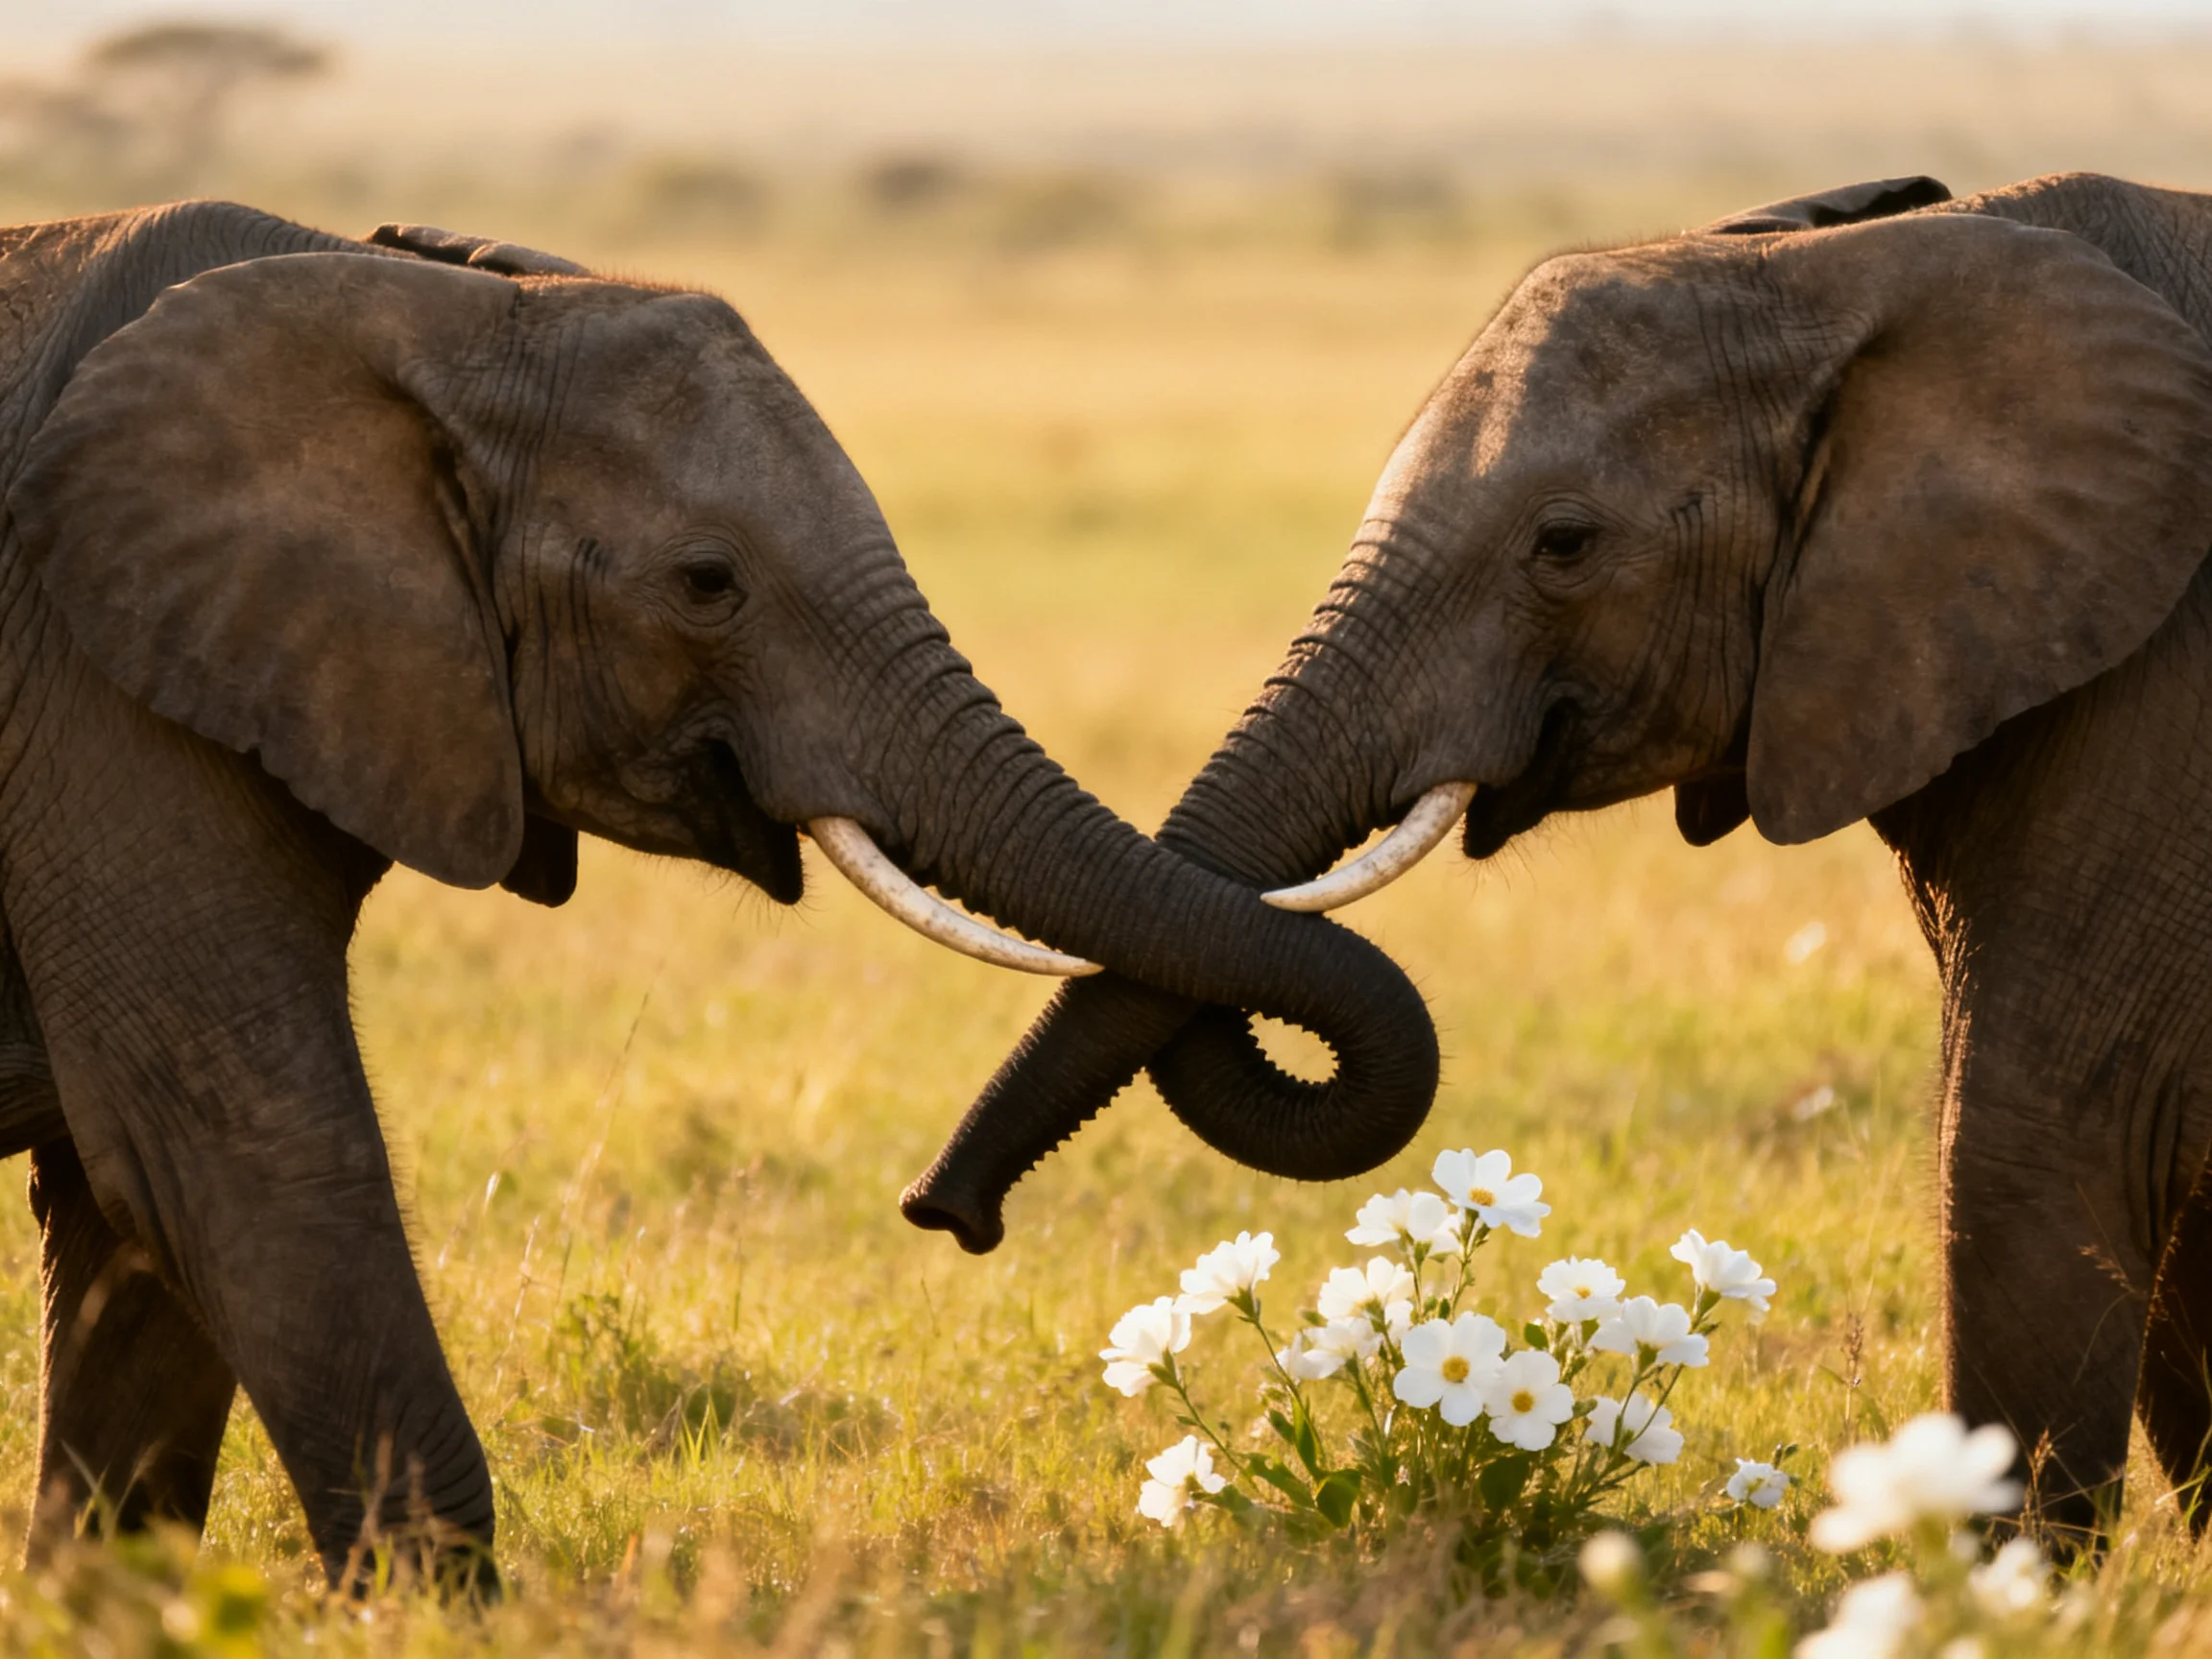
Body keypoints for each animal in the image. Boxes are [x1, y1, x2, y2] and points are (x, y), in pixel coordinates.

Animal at [0, 201, 1441, 1583]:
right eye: (707, 584)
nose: (945, 1212)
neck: (408, 301)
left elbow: (140, 1215)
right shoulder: (99, 689)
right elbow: (241, 1154)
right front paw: (446, 1616)